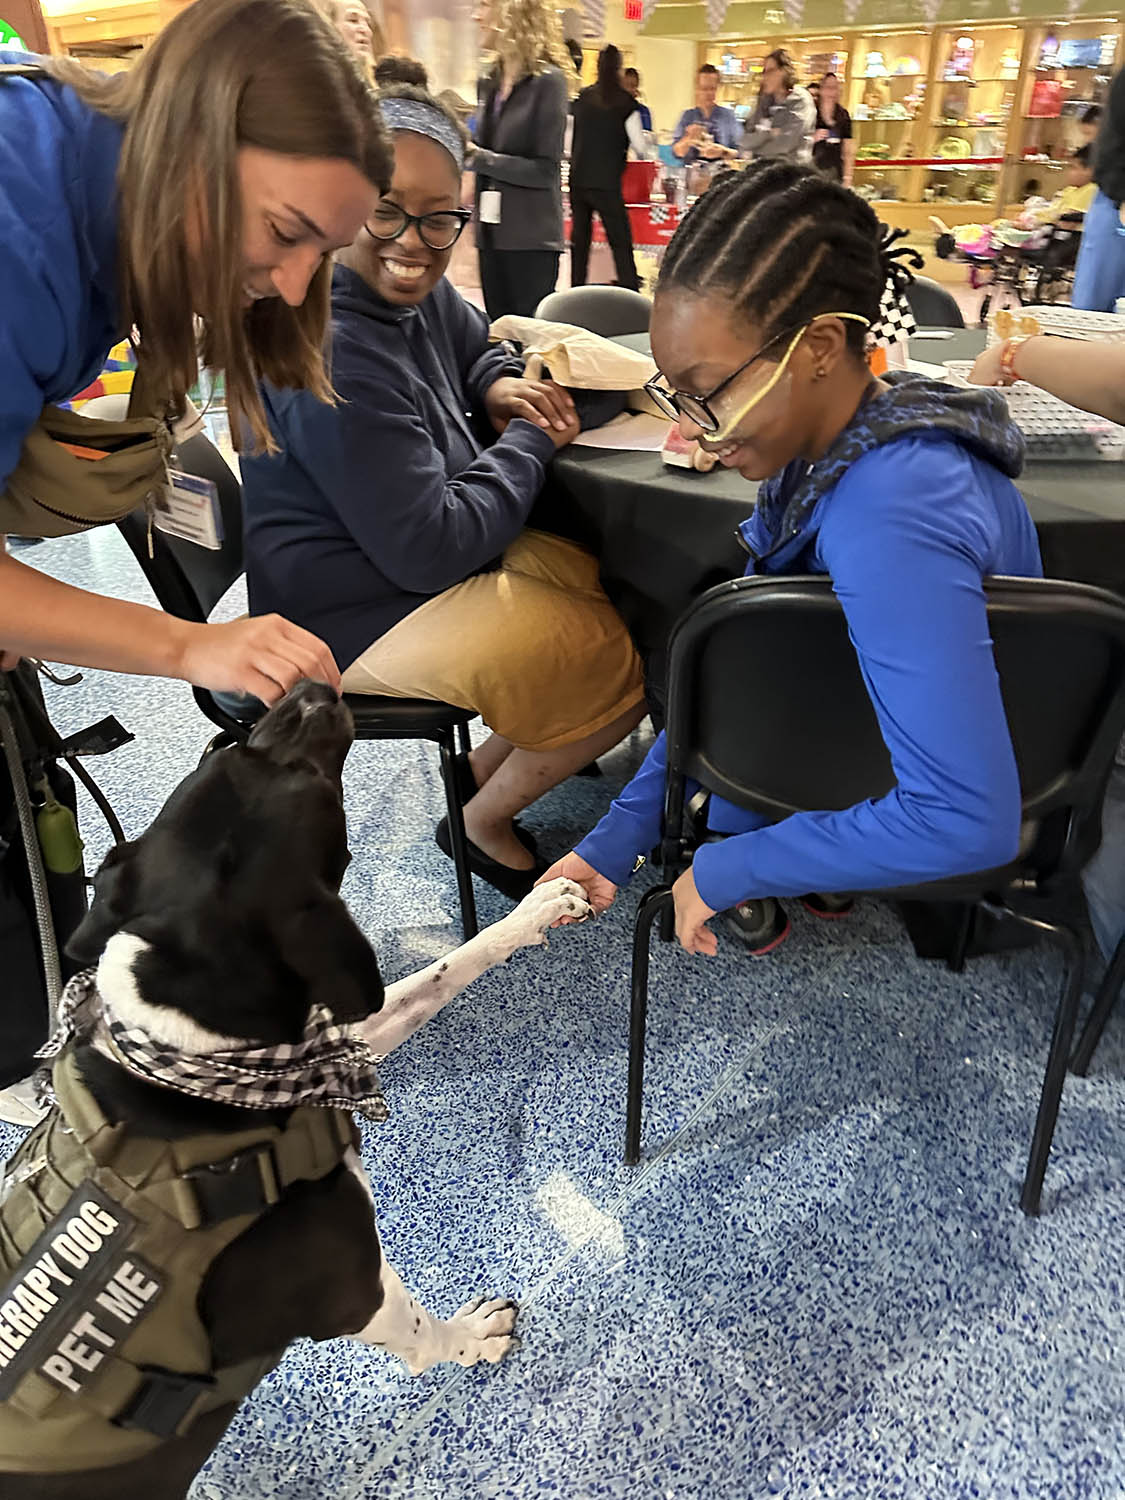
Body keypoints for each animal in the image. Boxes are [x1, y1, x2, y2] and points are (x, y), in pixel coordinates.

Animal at [4, 684, 591, 1500]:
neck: (188, 1053)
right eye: (309, 783)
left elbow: (447, 968)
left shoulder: (327, 1040)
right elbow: (422, 1337)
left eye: (218, 764)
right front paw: (475, 1336)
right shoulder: (351, 1287)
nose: (308, 690)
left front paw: (537, 909)